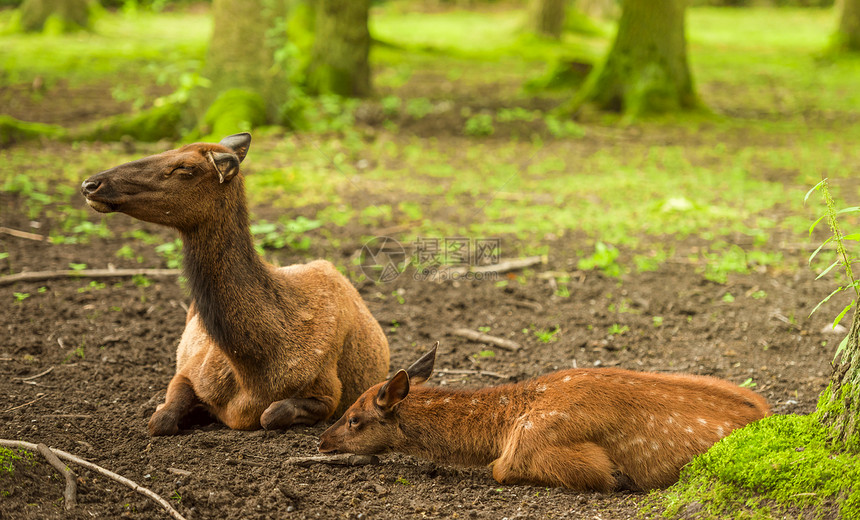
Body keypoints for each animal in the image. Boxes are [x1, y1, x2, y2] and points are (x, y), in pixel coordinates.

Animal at [80, 133, 390, 434]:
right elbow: (161, 420)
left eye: (185, 168)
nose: (90, 183)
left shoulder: (329, 392)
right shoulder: (189, 370)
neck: (252, 368)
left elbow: (271, 414)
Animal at [320, 346, 768, 492]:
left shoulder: (533, 449)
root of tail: (766, 413)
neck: (502, 428)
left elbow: (499, 470)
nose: (322, 440)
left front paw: (620, 479)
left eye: (355, 418)